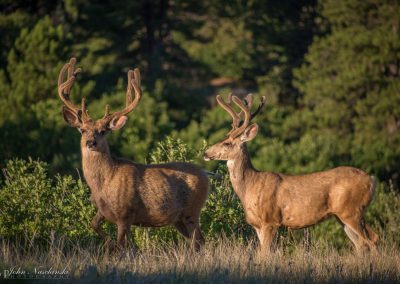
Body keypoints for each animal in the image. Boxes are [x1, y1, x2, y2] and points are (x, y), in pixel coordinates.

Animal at [59, 58, 211, 251]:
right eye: (82, 130)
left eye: (102, 131)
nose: (90, 143)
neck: (104, 183)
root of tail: (205, 175)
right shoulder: (103, 211)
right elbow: (93, 224)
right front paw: (108, 243)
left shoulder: (125, 213)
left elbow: (121, 245)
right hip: (178, 219)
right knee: (195, 241)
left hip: (192, 210)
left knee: (200, 240)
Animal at [203, 94, 378, 254]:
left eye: (227, 143)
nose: (205, 153)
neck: (251, 186)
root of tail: (371, 180)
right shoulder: (257, 225)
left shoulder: (270, 220)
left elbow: (263, 255)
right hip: (342, 215)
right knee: (360, 244)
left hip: (353, 210)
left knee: (373, 239)